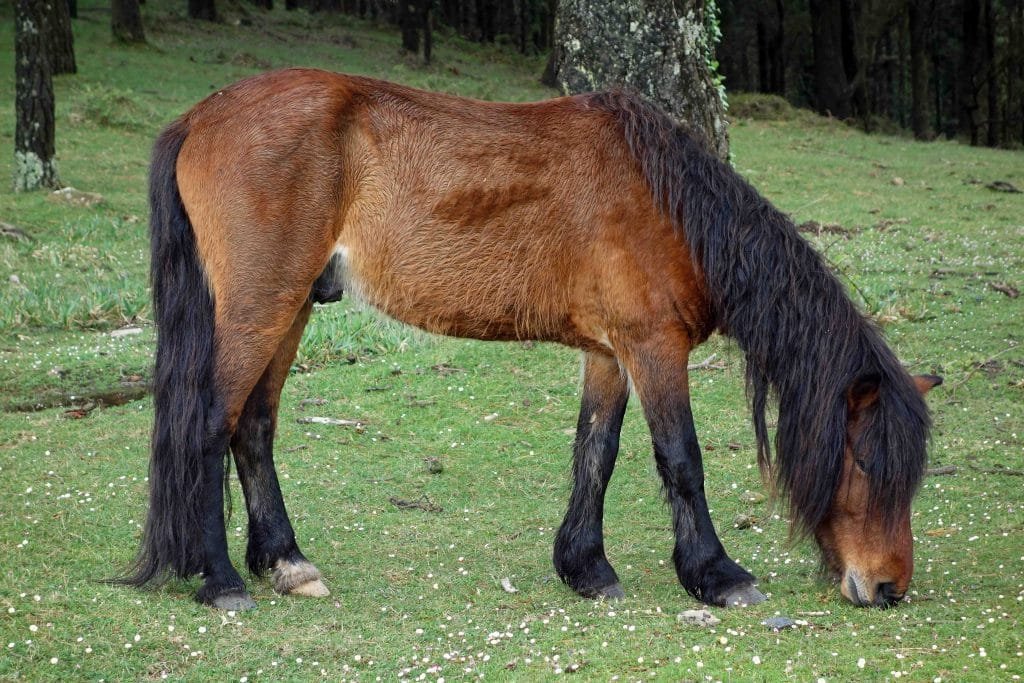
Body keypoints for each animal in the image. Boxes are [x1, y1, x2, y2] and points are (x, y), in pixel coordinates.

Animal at [117, 68, 941, 611]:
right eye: (866, 463)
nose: (888, 586)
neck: (671, 204)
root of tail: (200, 116)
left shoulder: (610, 352)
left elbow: (595, 454)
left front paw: (586, 567)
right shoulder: (653, 346)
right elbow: (680, 460)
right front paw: (716, 573)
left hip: (288, 311)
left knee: (253, 427)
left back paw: (285, 562)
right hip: (261, 306)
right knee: (209, 424)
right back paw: (221, 580)